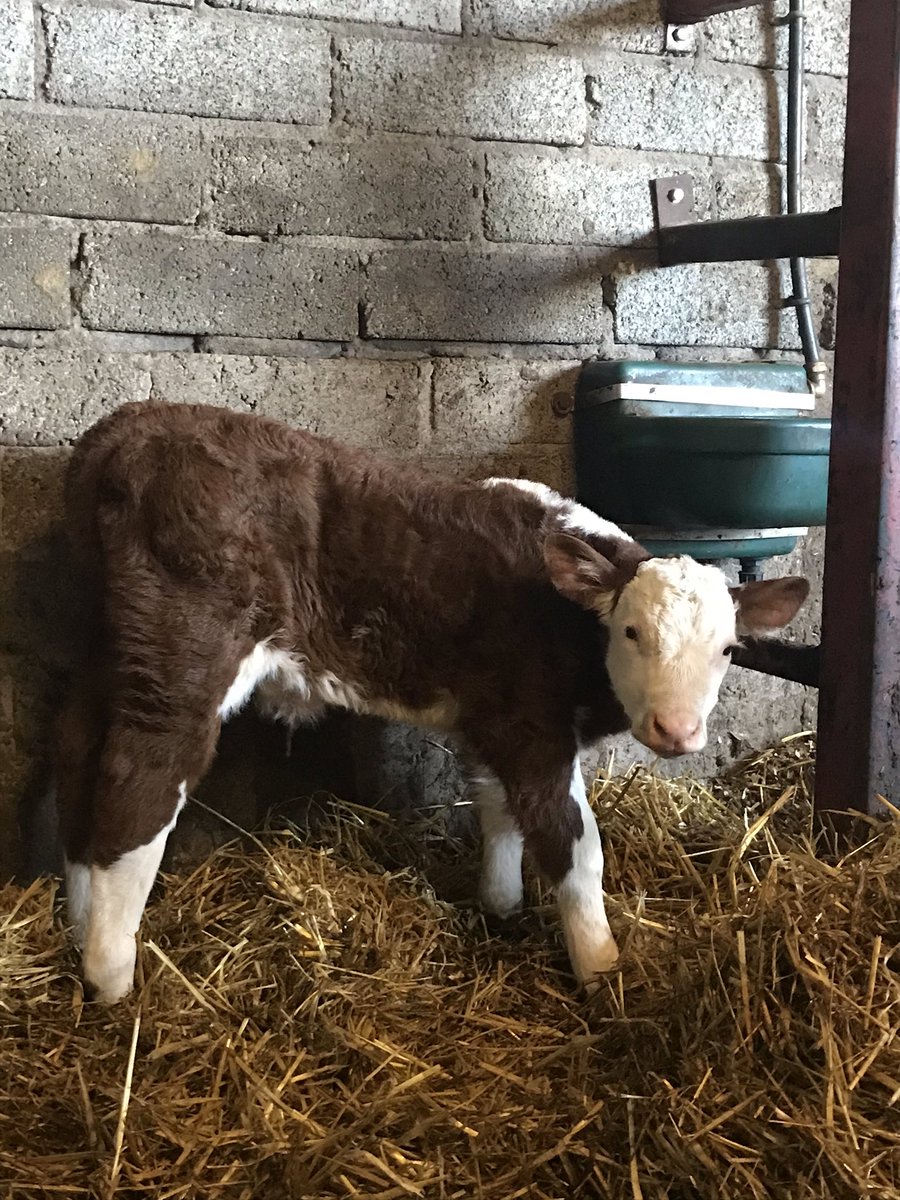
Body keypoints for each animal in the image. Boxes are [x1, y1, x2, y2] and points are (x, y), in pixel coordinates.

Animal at [53, 400, 809, 1003]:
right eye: (631, 631)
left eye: (728, 649)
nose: (677, 730)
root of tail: (126, 428)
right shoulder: (529, 721)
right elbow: (573, 842)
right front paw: (601, 968)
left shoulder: (490, 716)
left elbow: (499, 810)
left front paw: (500, 905)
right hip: (184, 651)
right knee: (139, 777)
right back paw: (111, 975)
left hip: (109, 646)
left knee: (78, 755)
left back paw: (78, 921)